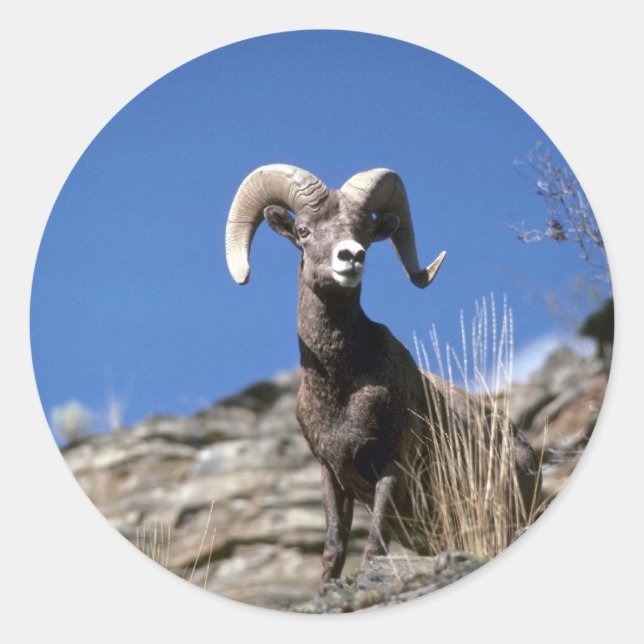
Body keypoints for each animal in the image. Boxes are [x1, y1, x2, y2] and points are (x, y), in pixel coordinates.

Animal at [225, 164, 540, 581]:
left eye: (364, 233)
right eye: (304, 230)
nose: (351, 257)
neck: (340, 391)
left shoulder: (392, 467)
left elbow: (374, 545)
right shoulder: (332, 474)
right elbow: (333, 550)